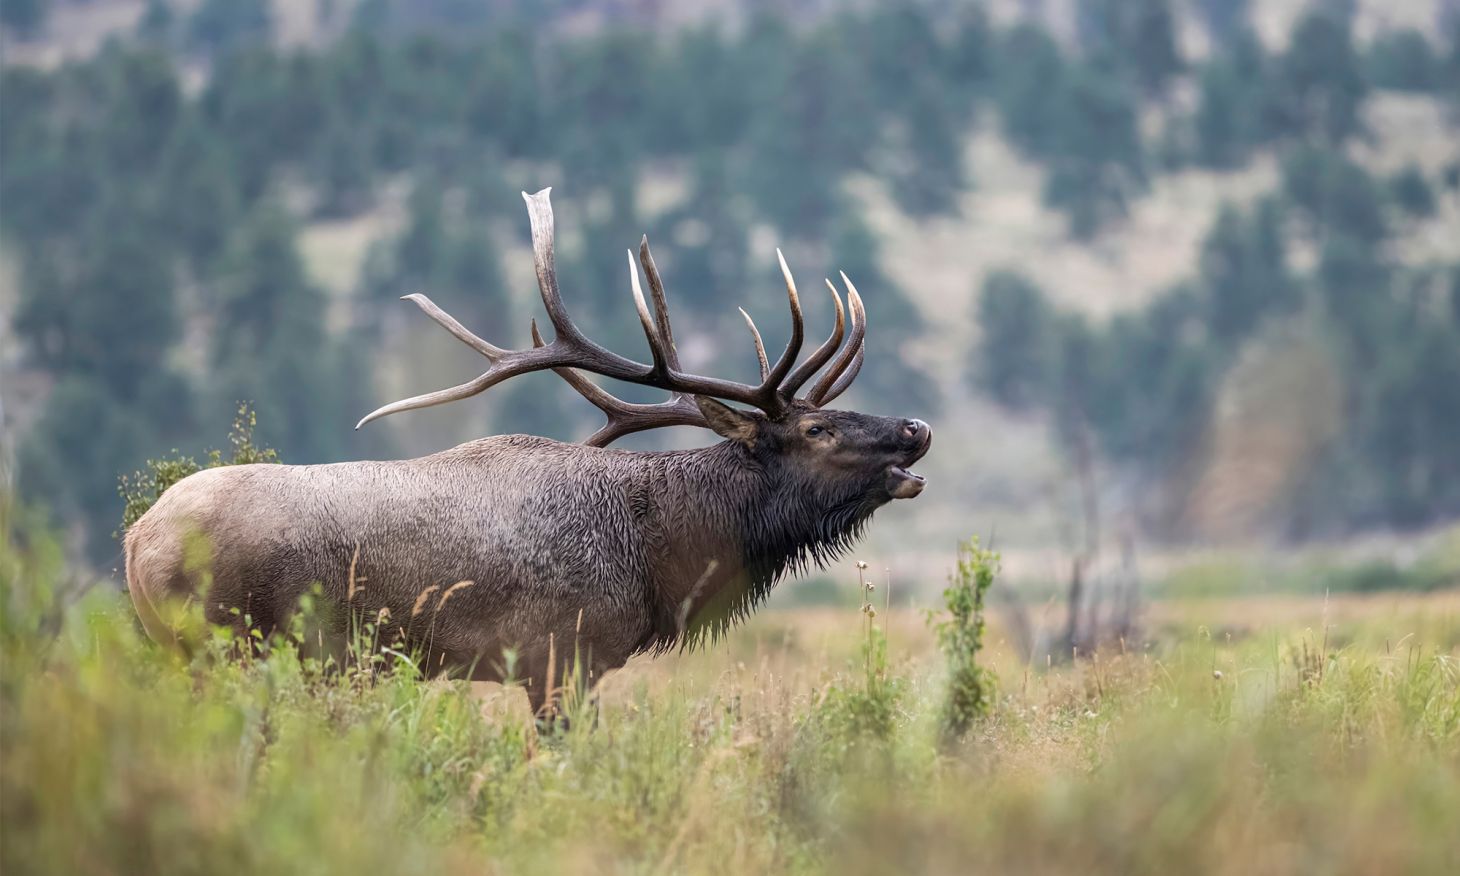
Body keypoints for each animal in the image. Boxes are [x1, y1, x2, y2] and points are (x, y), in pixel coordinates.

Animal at [124, 189, 931, 724]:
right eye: (817, 429)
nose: (916, 427)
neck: (659, 551)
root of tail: (136, 539)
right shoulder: (557, 655)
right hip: (226, 644)